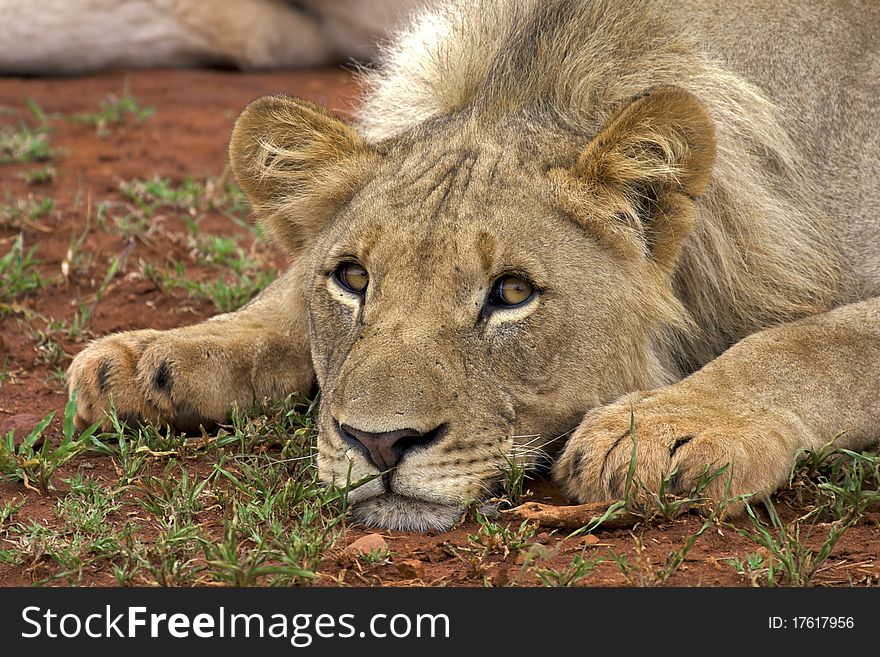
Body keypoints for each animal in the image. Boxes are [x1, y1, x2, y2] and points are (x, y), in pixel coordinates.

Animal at [65, 0, 880, 532]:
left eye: (511, 292)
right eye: (353, 278)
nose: (379, 443)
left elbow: (811, 343)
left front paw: (660, 431)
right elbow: (284, 291)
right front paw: (155, 357)